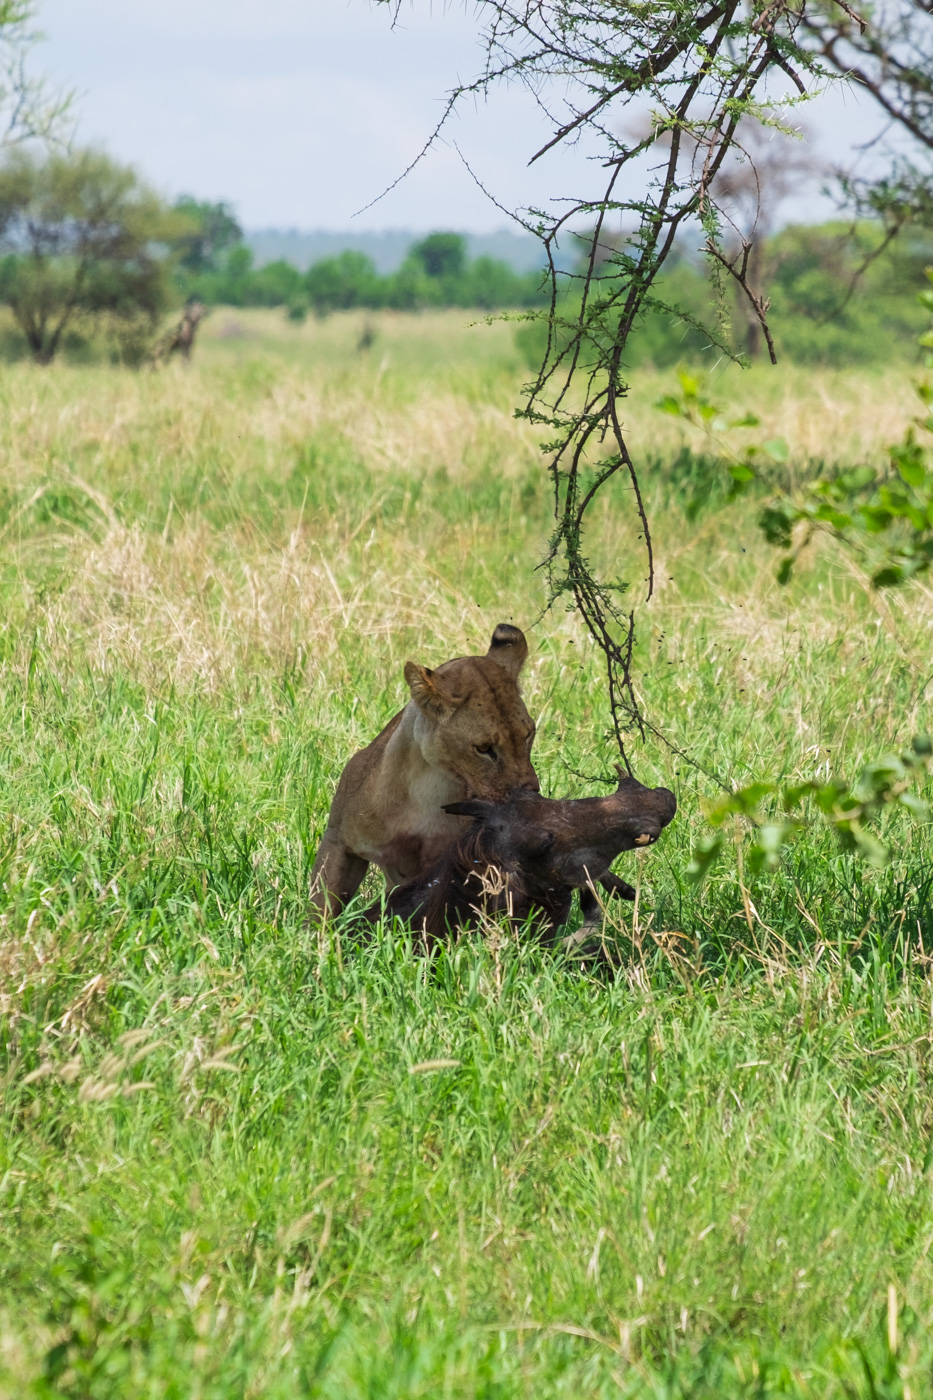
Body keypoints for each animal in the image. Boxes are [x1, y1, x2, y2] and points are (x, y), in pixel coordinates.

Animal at [310, 623, 538, 915]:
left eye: (528, 734)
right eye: (484, 748)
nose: (531, 795)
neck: (429, 789)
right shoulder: (338, 840)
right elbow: (321, 906)